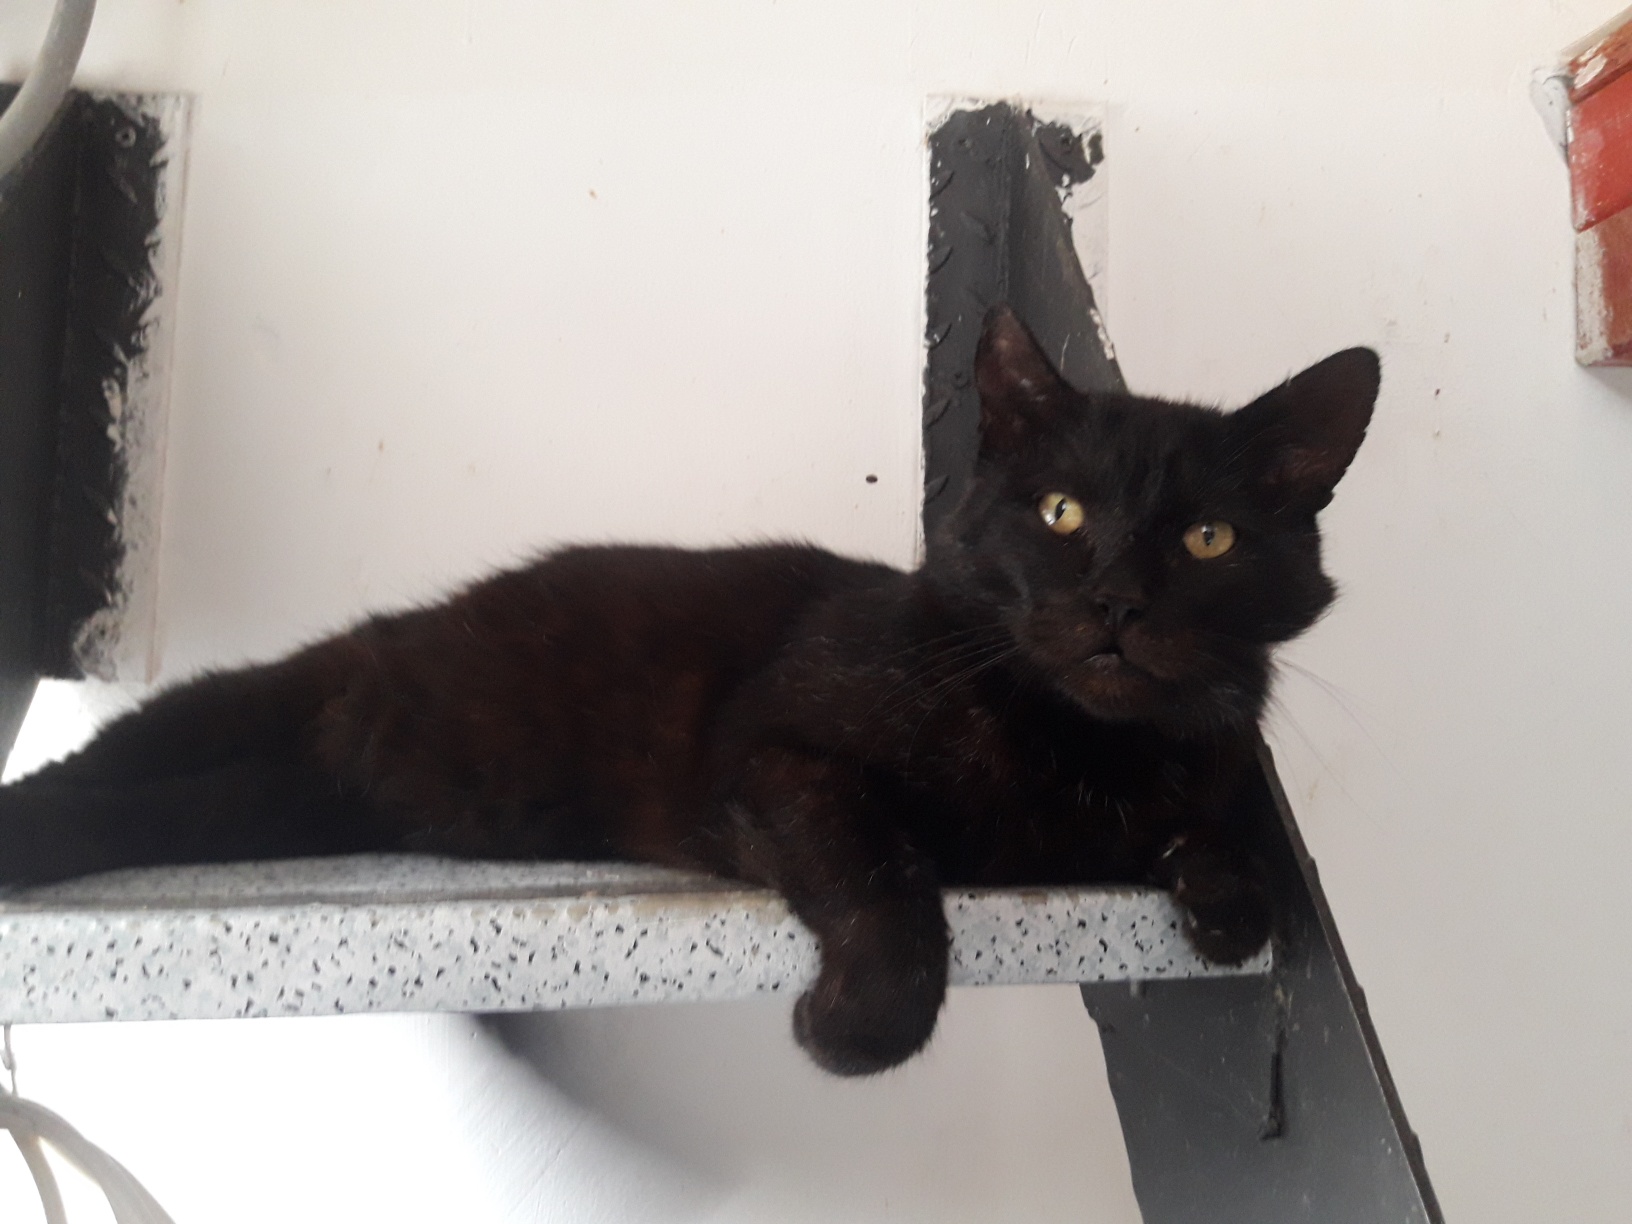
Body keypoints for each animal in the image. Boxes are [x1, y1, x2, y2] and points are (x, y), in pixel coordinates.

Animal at [0, 306, 1378, 1075]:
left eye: (1208, 540)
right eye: (1062, 514)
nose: (1117, 605)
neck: (1073, 751)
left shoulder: (1200, 765)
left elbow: (1225, 831)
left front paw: (1222, 894)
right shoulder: (772, 758)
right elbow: (886, 870)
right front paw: (862, 1024)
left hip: (317, 791)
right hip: (286, 740)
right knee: (120, 779)